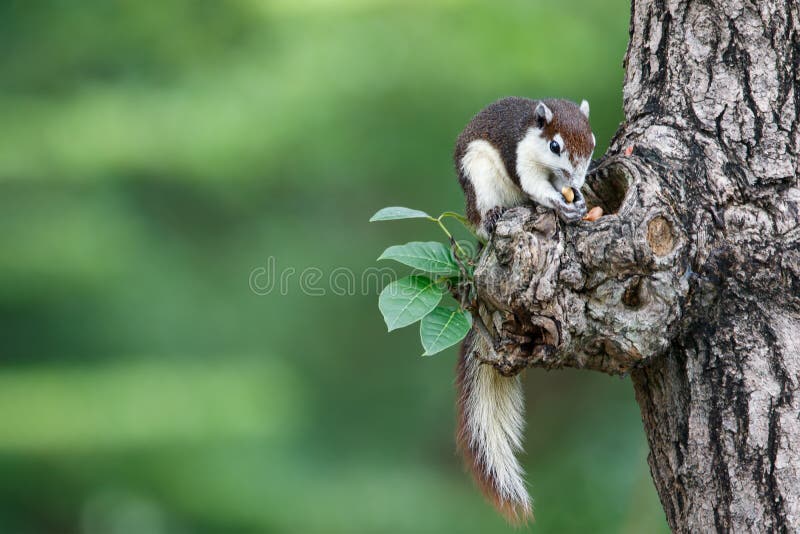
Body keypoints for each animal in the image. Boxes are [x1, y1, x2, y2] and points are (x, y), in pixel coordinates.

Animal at [453, 97, 595, 522]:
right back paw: (494, 219)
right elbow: (534, 186)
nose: (576, 180)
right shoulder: (521, 158)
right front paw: (558, 202)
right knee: (484, 217)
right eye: (555, 146)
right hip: (479, 179)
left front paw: (577, 198)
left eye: (592, 141)